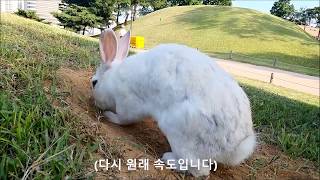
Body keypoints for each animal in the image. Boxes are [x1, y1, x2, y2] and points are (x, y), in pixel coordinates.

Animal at [91, 28, 256, 176]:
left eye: (94, 83)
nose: (94, 103)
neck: (113, 78)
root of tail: (236, 146)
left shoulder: (128, 103)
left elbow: (123, 119)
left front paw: (108, 115)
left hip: (179, 133)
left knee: (198, 169)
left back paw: (168, 158)